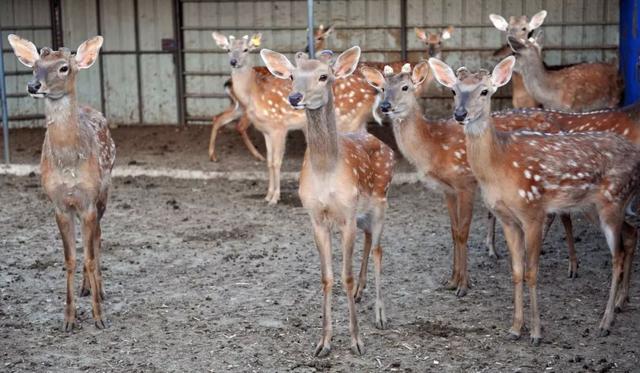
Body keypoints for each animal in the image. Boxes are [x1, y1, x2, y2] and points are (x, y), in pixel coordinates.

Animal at [8, 34, 115, 332]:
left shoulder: (89, 201)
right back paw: (86, 288)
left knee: (99, 238)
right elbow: (70, 258)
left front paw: (99, 316)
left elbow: (89, 255)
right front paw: (68, 318)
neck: (68, 165)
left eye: (63, 68)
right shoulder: (58, 203)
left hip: (104, 193)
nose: (33, 85)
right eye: (35, 66)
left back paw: (99, 288)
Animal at [208, 24, 336, 161]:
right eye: (228, 50)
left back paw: (214, 155)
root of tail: (228, 82)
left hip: (238, 106)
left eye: (320, 37)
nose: (233, 62)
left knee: (219, 118)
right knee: (238, 125)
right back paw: (257, 155)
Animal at [262, 45, 396, 356]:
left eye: (324, 76)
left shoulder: (346, 215)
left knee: (379, 250)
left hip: (381, 201)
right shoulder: (316, 217)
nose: (294, 97)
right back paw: (360, 293)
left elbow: (345, 276)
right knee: (369, 240)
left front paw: (357, 341)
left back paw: (380, 314)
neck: (326, 172)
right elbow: (327, 277)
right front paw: (323, 342)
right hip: (363, 214)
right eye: (291, 75)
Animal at [430, 56, 640, 346]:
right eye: (453, 91)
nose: (460, 114)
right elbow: (517, 270)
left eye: (485, 91)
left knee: (617, 254)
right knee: (631, 234)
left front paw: (537, 333)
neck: (499, 165)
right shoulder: (507, 218)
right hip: (594, 207)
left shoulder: (533, 212)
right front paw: (516, 328)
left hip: (612, 200)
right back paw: (621, 303)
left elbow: (532, 272)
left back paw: (605, 322)